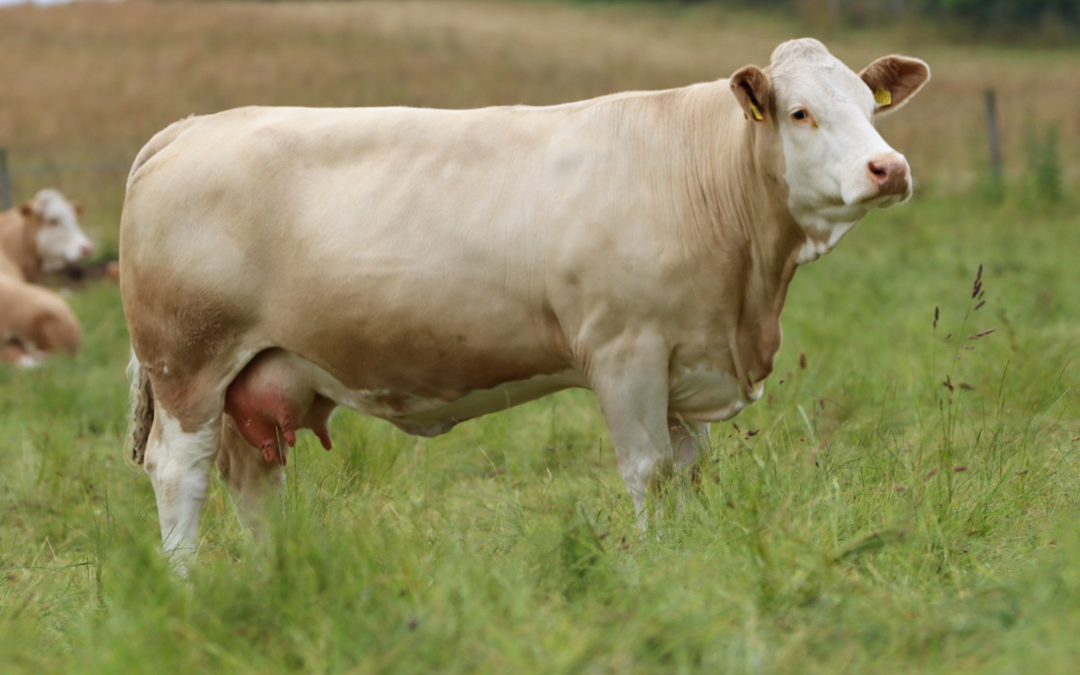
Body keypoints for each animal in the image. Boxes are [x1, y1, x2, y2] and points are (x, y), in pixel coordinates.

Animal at [120, 38, 928, 570]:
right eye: (801, 113)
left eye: (870, 106)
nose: (888, 168)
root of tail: (192, 126)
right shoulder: (625, 350)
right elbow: (649, 470)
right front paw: (656, 564)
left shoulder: (686, 356)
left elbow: (689, 471)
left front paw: (688, 552)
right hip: (188, 364)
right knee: (180, 473)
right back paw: (188, 583)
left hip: (256, 374)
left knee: (252, 480)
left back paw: (272, 575)